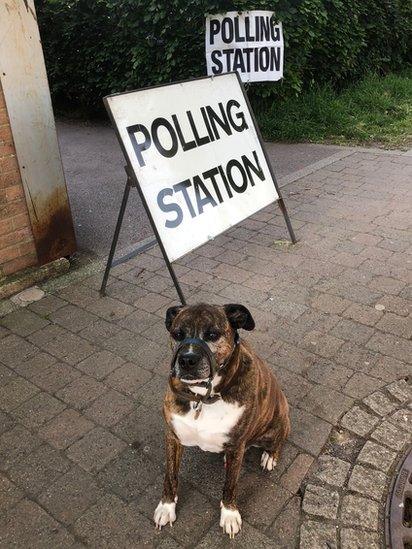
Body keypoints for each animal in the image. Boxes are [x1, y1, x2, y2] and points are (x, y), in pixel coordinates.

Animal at [154, 300, 290, 536]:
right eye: (178, 334)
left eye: (212, 334)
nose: (187, 359)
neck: (203, 398)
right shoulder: (172, 436)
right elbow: (170, 475)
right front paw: (166, 506)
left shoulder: (236, 445)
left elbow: (230, 485)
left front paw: (230, 514)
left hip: (277, 424)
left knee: (277, 442)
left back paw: (269, 456)